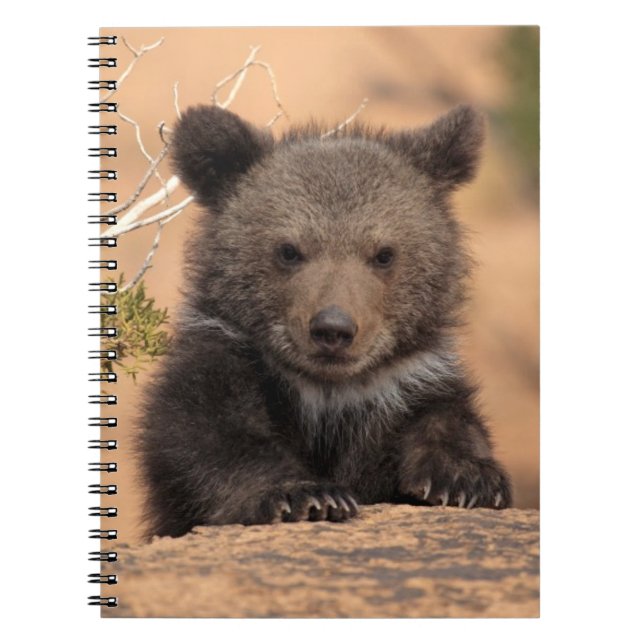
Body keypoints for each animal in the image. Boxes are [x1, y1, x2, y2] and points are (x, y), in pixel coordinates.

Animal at [138, 103, 512, 538]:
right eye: (288, 250)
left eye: (384, 254)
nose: (333, 329)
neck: (329, 395)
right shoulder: (226, 362)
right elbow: (208, 435)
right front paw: (306, 494)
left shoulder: (408, 383)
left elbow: (446, 419)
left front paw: (467, 479)